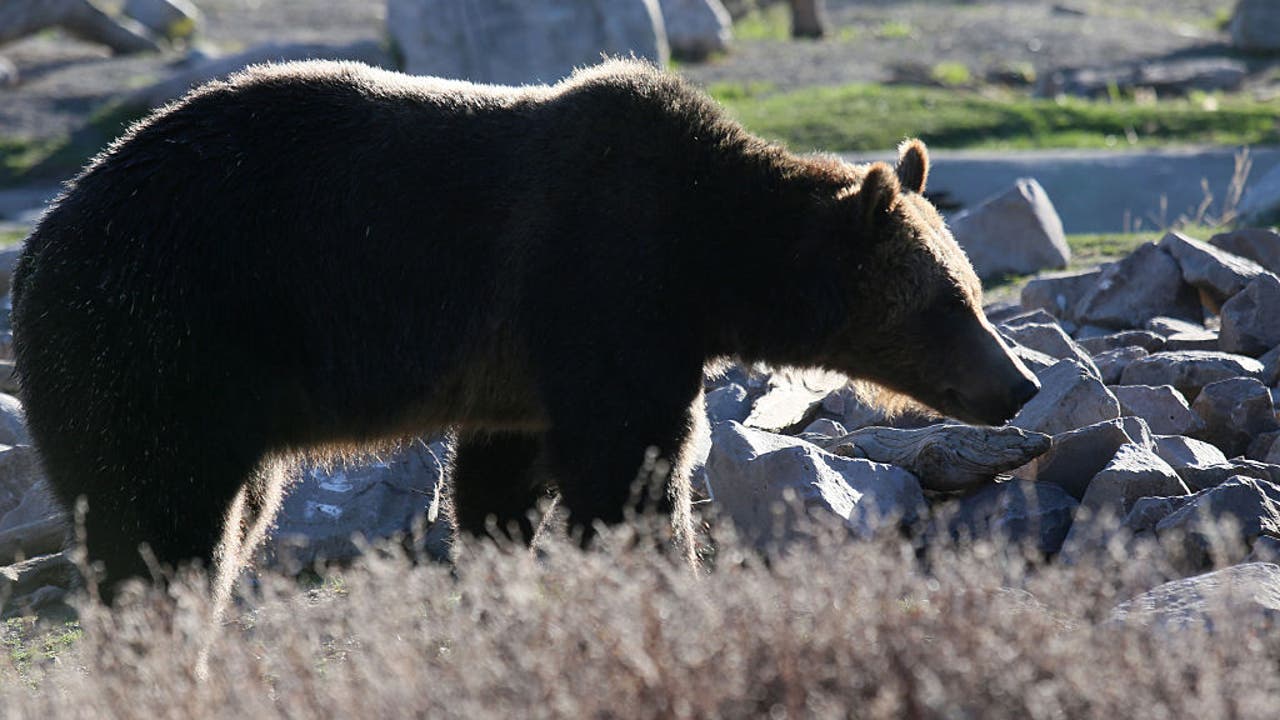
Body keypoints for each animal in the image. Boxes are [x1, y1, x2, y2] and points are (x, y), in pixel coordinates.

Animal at [11, 59, 1039, 601]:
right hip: (156, 349)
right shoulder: (604, 289)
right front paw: (662, 571)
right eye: (955, 301)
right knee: (166, 524)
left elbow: (498, 480)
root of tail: (36, 251)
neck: (710, 256)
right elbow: (631, 469)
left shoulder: (524, 371)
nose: (1021, 383)